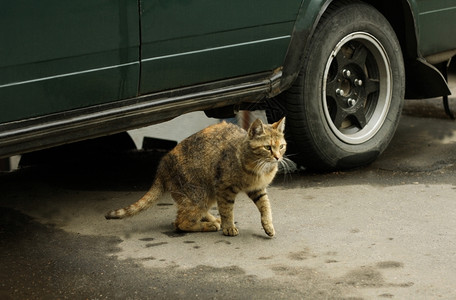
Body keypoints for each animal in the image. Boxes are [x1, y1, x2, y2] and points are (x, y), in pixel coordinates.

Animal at [105, 117, 286, 237]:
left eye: (282, 146)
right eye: (268, 147)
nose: (278, 157)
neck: (258, 166)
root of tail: (162, 167)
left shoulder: (258, 189)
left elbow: (265, 207)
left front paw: (268, 226)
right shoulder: (224, 188)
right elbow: (227, 210)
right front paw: (228, 227)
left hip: (205, 195)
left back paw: (212, 220)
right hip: (199, 195)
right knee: (180, 223)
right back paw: (209, 225)